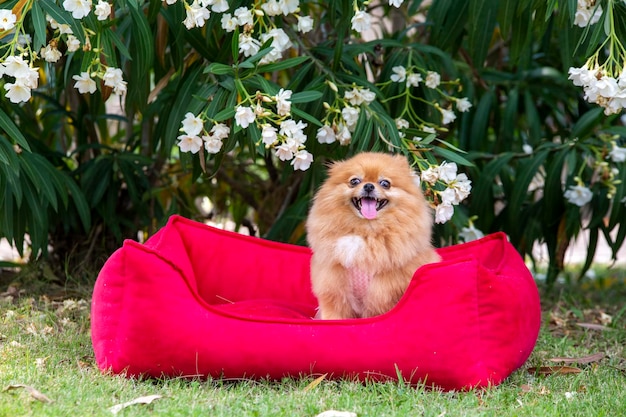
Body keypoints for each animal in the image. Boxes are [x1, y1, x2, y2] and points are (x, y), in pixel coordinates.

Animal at [304, 153, 436, 318]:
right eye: (354, 181)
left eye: (385, 183)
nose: (368, 186)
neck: (365, 231)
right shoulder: (334, 291)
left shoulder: (384, 294)